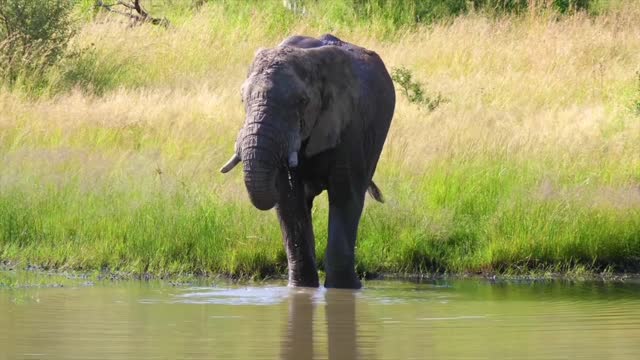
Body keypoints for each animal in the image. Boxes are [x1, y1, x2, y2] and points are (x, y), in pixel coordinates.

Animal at [222, 32, 398, 288]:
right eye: (242, 99)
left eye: (302, 101)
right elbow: (289, 200)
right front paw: (301, 289)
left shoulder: (350, 126)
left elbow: (345, 196)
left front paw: (345, 289)